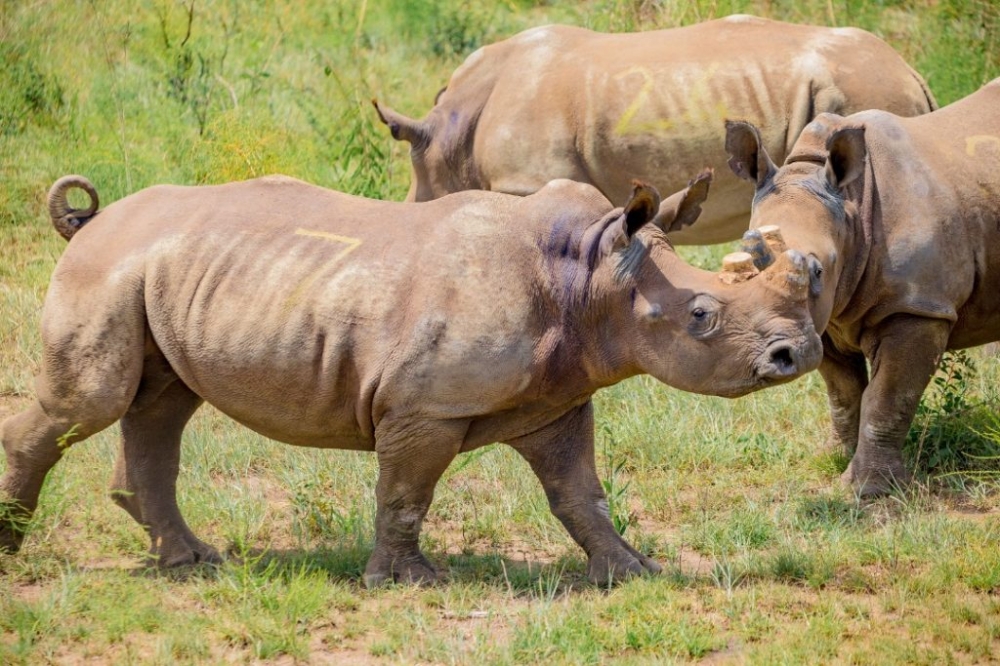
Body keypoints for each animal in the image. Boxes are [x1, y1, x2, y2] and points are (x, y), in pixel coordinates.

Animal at [0, 171, 822, 585]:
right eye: (702, 315)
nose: (799, 354)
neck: (591, 277)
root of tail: (92, 223)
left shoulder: (559, 398)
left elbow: (579, 493)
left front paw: (632, 571)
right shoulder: (425, 403)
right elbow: (406, 493)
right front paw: (407, 581)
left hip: (164, 272)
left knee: (163, 403)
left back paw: (193, 563)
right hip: (108, 268)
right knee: (93, 401)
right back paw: (15, 548)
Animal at [725, 77, 1000, 497]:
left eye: (818, 271)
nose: (776, 356)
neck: (852, 212)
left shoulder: (916, 307)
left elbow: (887, 399)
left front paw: (866, 489)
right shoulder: (824, 320)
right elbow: (844, 393)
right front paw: (832, 458)